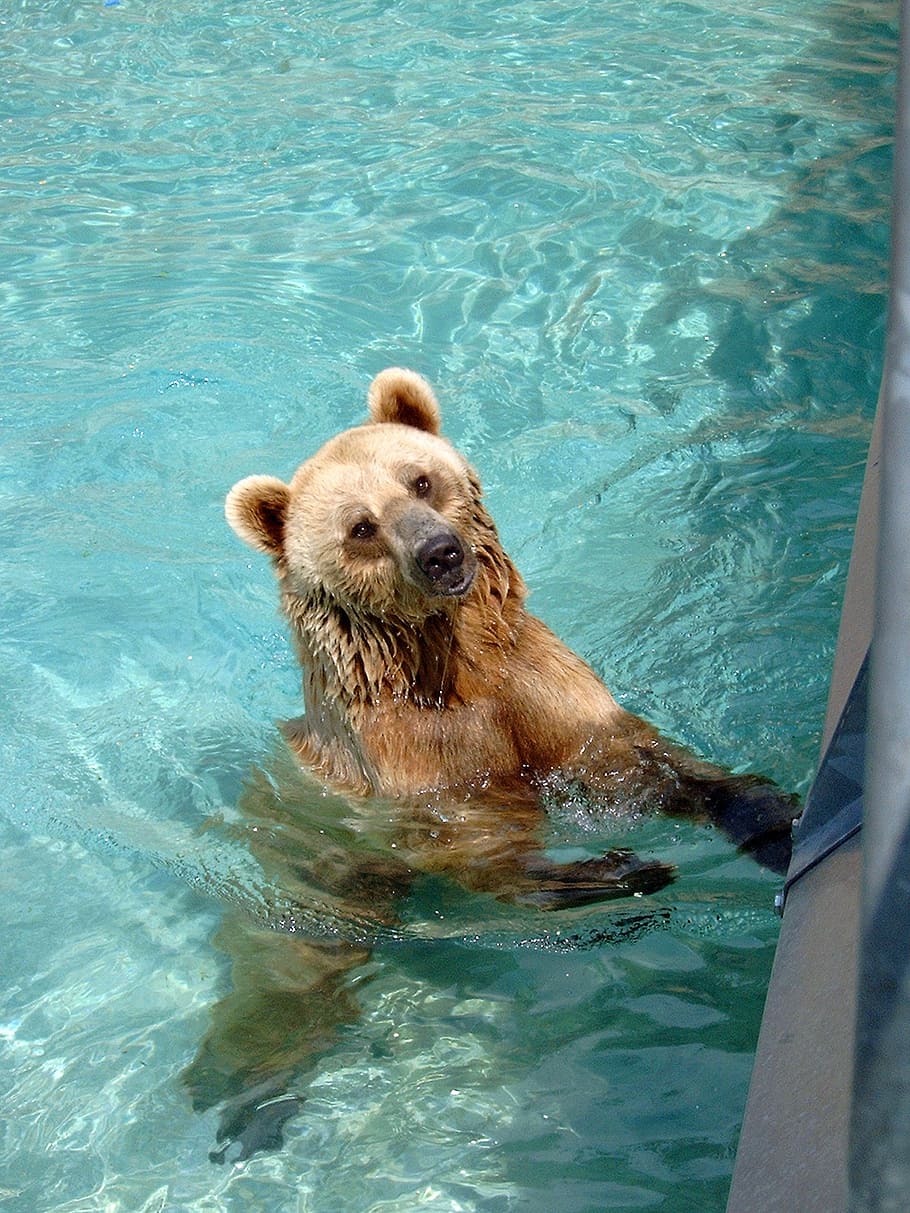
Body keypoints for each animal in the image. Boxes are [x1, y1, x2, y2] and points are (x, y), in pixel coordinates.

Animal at [185, 367, 798, 1161]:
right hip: (300, 852)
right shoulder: (410, 766)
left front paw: (773, 821)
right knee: (292, 958)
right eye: (361, 527)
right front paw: (609, 872)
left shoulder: (543, 693)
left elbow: (637, 763)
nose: (441, 552)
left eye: (420, 479)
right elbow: (471, 843)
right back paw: (248, 1091)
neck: (457, 665)